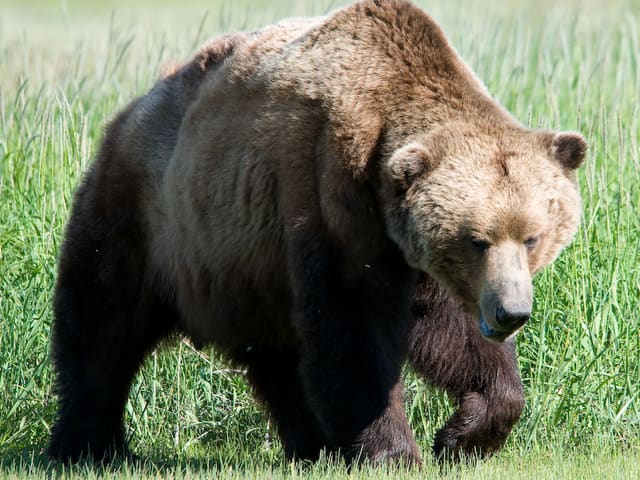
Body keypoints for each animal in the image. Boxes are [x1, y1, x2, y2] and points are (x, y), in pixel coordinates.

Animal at [48, 0, 585, 466]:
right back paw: (89, 445)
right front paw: (394, 452)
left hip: (247, 268)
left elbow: (450, 332)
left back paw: (311, 442)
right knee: (101, 325)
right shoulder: (331, 194)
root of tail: (131, 109)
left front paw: (464, 433)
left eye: (532, 237)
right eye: (476, 240)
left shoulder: (408, 248)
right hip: (149, 216)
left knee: (276, 358)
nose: (511, 312)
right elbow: (354, 328)